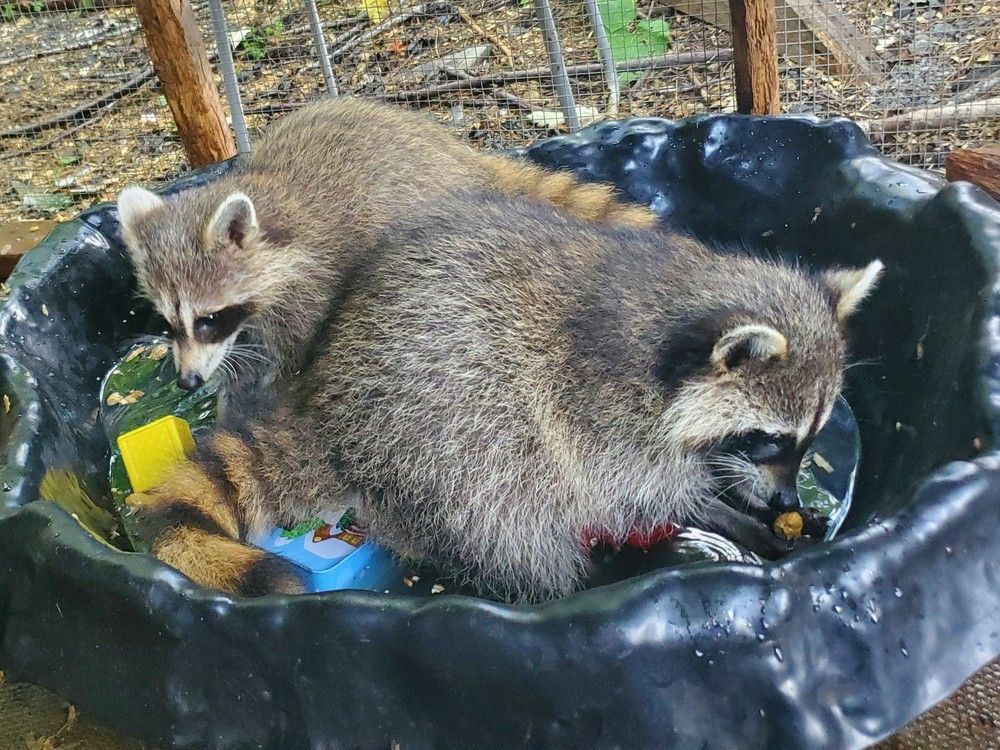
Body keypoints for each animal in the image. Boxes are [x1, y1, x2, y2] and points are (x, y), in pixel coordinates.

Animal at [115, 97, 656, 396]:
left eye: (208, 319)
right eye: (168, 323)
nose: (186, 382)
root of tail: (463, 157)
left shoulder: (312, 284)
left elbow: (295, 356)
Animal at [127, 189, 884, 604]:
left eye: (809, 439)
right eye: (768, 438)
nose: (784, 499)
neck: (673, 311)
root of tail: (325, 409)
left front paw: (750, 505)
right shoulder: (597, 410)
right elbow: (638, 491)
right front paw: (727, 515)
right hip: (437, 432)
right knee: (502, 509)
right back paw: (605, 572)